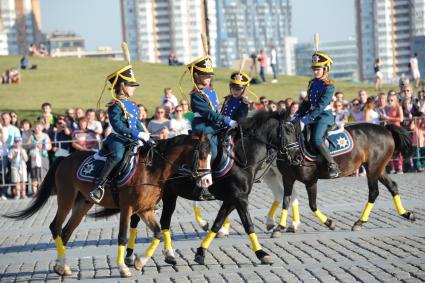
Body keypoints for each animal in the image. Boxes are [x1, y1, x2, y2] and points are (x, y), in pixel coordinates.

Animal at [4, 134, 212, 278]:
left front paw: (139, 261)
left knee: (66, 232)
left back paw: (61, 266)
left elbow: (158, 233)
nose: (207, 180)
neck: (151, 169)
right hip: (66, 199)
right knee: (55, 227)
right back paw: (61, 264)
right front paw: (123, 268)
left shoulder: (145, 210)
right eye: (202, 154)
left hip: (82, 205)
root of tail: (64, 158)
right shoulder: (127, 209)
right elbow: (122, 236)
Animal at [268, 116, 414, 239]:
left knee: (374, 192)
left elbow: (312, 205)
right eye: (286, 132)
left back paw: (359, 222)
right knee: (392, 186)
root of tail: (385, 129)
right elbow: (286, 201)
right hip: (379, 169)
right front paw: (279, 227)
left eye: (290, 131)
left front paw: (329, 223)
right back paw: (406, 214)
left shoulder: (310, 181)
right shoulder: (287, 178)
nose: (296, 158)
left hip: (373, 169)